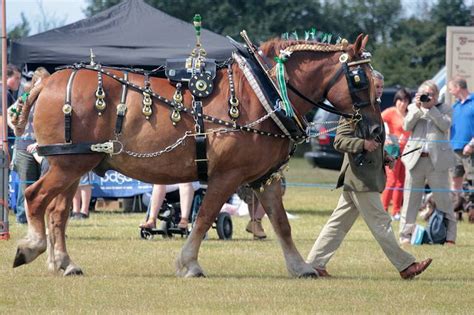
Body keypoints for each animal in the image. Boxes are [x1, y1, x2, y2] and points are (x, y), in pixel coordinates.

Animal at [12, 33, 382, 278]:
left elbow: (281, 223)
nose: (378, 131)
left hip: (75, 164)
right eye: (360, 81)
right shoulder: (226, 175)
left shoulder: (265, 178)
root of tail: (47, 82)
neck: (263, 93)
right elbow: (203, 219)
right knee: (35, 198)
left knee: (58, 211)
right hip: (68, 164)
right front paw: (189, 263)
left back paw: (64, 262)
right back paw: (32, 246)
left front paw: (301, 266)